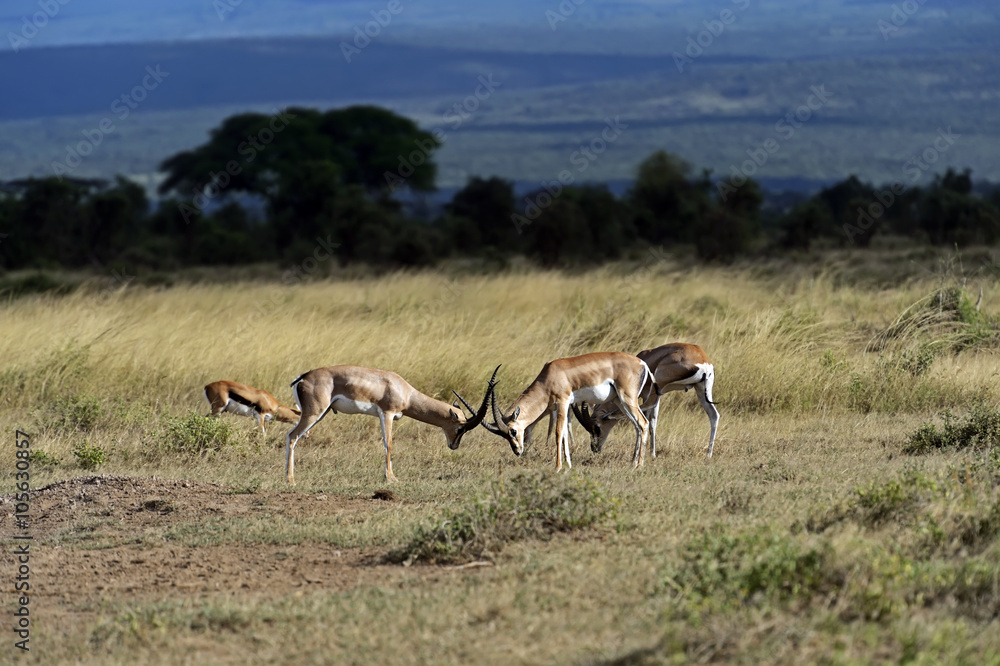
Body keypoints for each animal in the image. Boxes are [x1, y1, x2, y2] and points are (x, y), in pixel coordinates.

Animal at [284, 366, 496, 484]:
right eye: (460, 428)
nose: (454, 446)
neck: (406, 392)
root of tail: (303, 377)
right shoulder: (386, 413)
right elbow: (389, 444)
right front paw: (391, 479)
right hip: (314, 413)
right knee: (292, 436)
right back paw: (290, 481)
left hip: (321, 413)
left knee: (293, 436)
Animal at [483, 352, 653, 471]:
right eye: (504, 435)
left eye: (513, 431)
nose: (518, 451)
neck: (549, 378)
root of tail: (642, 363)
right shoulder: (564, 407)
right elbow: (565, 433)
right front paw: (568, 465)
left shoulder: (563, 403)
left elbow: (559, 433)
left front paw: (558, 467)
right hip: (620, 401)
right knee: (637, 426)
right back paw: (633, 463)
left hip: (627, 399)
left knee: (644, 423)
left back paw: (639, 466)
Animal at [572, 342, 718, 459]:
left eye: (596, 427)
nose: (594, 448)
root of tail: (703, 360)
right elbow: (653, 421)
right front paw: (652, 454)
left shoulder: (644, 394)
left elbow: (647, 420)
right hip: (701, 390)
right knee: (714, 415)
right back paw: (708, 455)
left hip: (658, 384)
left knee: (646, 408)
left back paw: (612, 415)